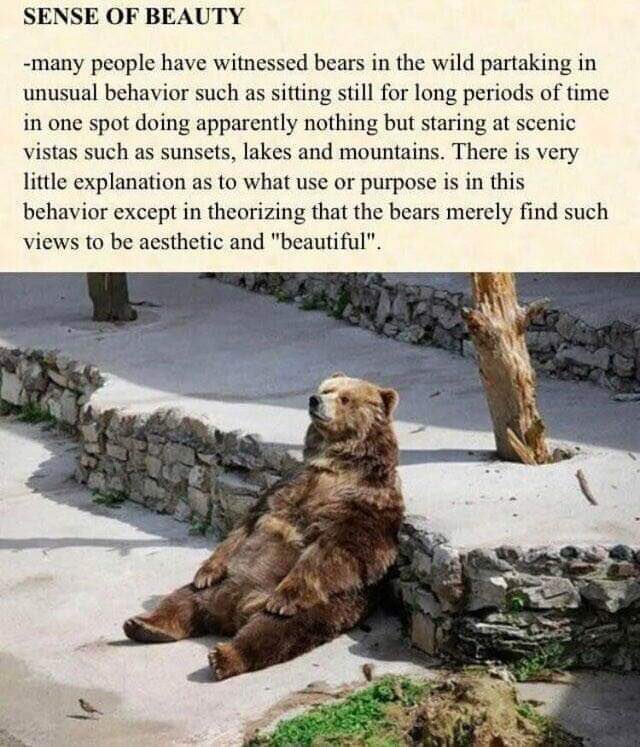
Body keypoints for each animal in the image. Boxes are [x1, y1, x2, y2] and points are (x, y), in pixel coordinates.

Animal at [123, 373, 404, 680]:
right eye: (326, 388)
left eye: (345, 398)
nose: (314, 400)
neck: (337, 464)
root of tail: (232, 612)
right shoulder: (288, 484)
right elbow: (247, 523)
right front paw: (206, 571)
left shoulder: (365, 505)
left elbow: (339, 548)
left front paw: (284, 596)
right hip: (223, 584)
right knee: (183, 598)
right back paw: (144, 624)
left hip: (321, 607)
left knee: (274, 631)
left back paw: (224, 655)